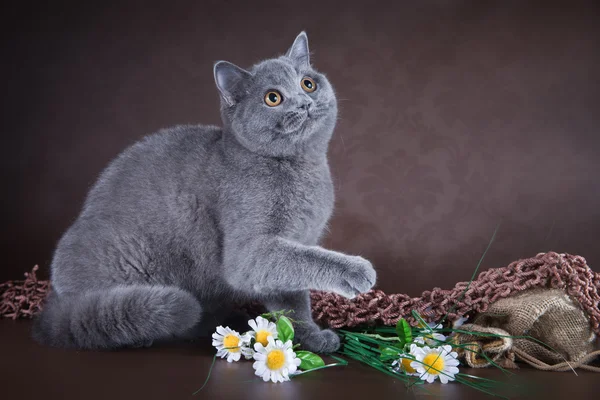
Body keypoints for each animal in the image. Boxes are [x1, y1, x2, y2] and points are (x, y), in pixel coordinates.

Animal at [31, 32, 376, 354]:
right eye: (273, 98)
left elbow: (294, 303)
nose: (304, 103)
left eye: (308, 83)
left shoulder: (284, 258)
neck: (304, 168)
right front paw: (356, 271)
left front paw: (311, 338)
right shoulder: (251, 252)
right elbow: (306, 260)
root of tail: (54, 303)